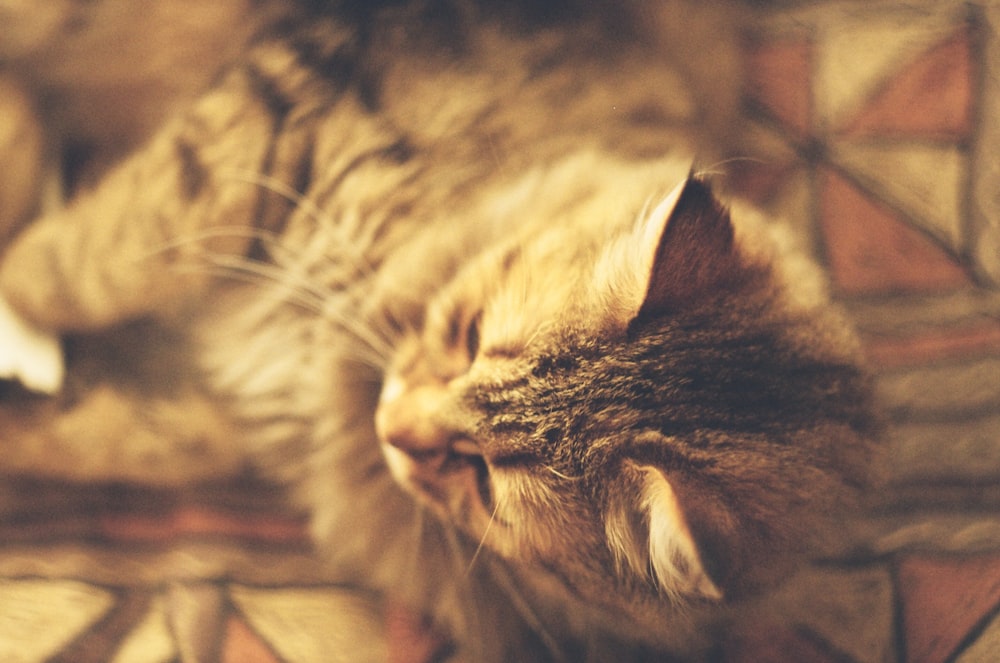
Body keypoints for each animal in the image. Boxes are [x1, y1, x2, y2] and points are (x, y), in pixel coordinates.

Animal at [0, 2, 876, 660]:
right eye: (470, 334)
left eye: (482, 479)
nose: (389, 423)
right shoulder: (262, 131)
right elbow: (76, 260)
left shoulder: (227, 409)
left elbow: (97, 429)